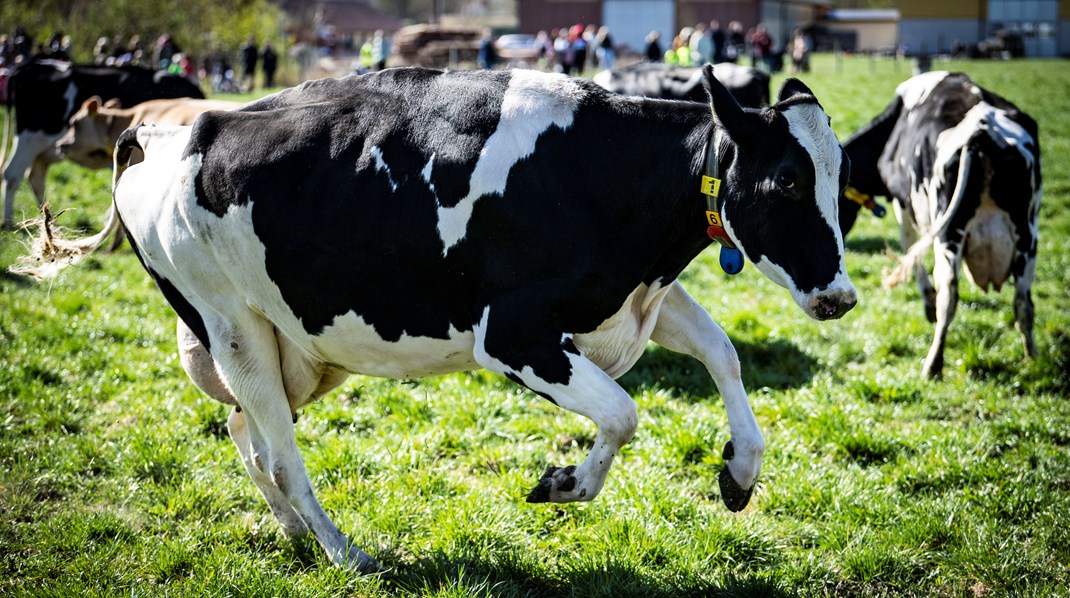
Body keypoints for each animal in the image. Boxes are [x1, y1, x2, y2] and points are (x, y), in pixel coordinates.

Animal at [1, 59, 202, 228]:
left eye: (75, 124)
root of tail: (29, 66)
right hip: (31, 138)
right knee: (12, 174)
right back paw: (10, 222)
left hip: (41, 149)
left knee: (35, 175)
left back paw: (47, 221)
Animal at [838, 71, 1040, 378]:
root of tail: (983, 132)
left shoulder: (903, 202)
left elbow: (910, 247)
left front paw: (928, 304)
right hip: (1027, 234)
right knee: (1023, 303)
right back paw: (1032, 358)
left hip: (949, 233)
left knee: (950, 297)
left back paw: (933, 363)